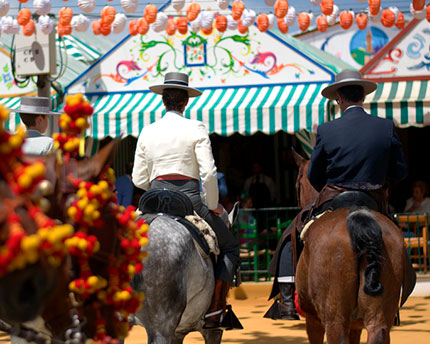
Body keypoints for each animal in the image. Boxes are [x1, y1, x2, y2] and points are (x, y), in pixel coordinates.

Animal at [294, 153, 414, 344]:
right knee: (377, 331)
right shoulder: (356, 326)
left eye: (298, 184)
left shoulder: (313, 320)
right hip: (378, 315)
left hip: (334, 317)